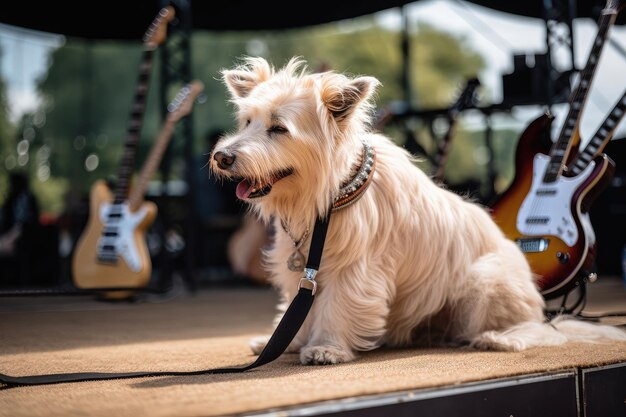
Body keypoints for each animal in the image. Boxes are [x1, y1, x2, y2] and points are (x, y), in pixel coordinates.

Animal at [210, 56, 624, 364]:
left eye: (279, 129)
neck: (328, 193)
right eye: (247, 122)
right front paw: (291, 340)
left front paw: (326, 347)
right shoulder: (303, 265)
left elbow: (337, 306)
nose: (222, 156)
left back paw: (499, 338)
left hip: (486, 281)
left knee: (538, 329)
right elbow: (303, 306)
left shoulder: (355, 269)